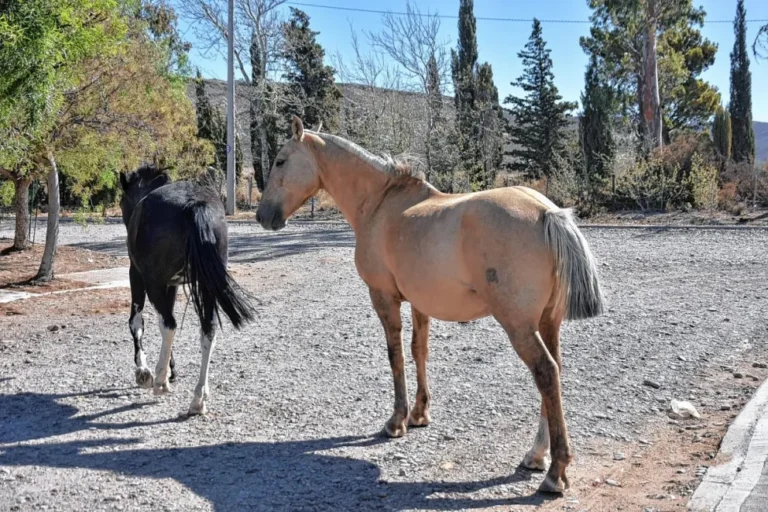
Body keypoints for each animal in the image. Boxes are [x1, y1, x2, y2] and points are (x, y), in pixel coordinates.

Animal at [119, 165, 255, 415]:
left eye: (123, 201)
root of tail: (194, 204)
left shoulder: (139, 276)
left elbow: (137, 322)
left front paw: (144, 372)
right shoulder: (171, 285)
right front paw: (170, 369)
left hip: (153, 283)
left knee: (169, 324)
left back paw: (159, 382)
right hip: (207, 285)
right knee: (207, 330)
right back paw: (198, 398)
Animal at [256, 116, 604, 493]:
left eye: (280, 160)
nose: (262, 215)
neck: (380, 203)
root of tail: (547, 211)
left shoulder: (383, 297)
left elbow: (394, 354)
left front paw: (396, 420)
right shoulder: (419, 302)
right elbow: (418, 349)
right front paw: (420, 414)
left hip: (519, 325)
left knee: (546, 372)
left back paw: (556, 471)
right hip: (547, 321)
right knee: (554, 371)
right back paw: (536, 455)